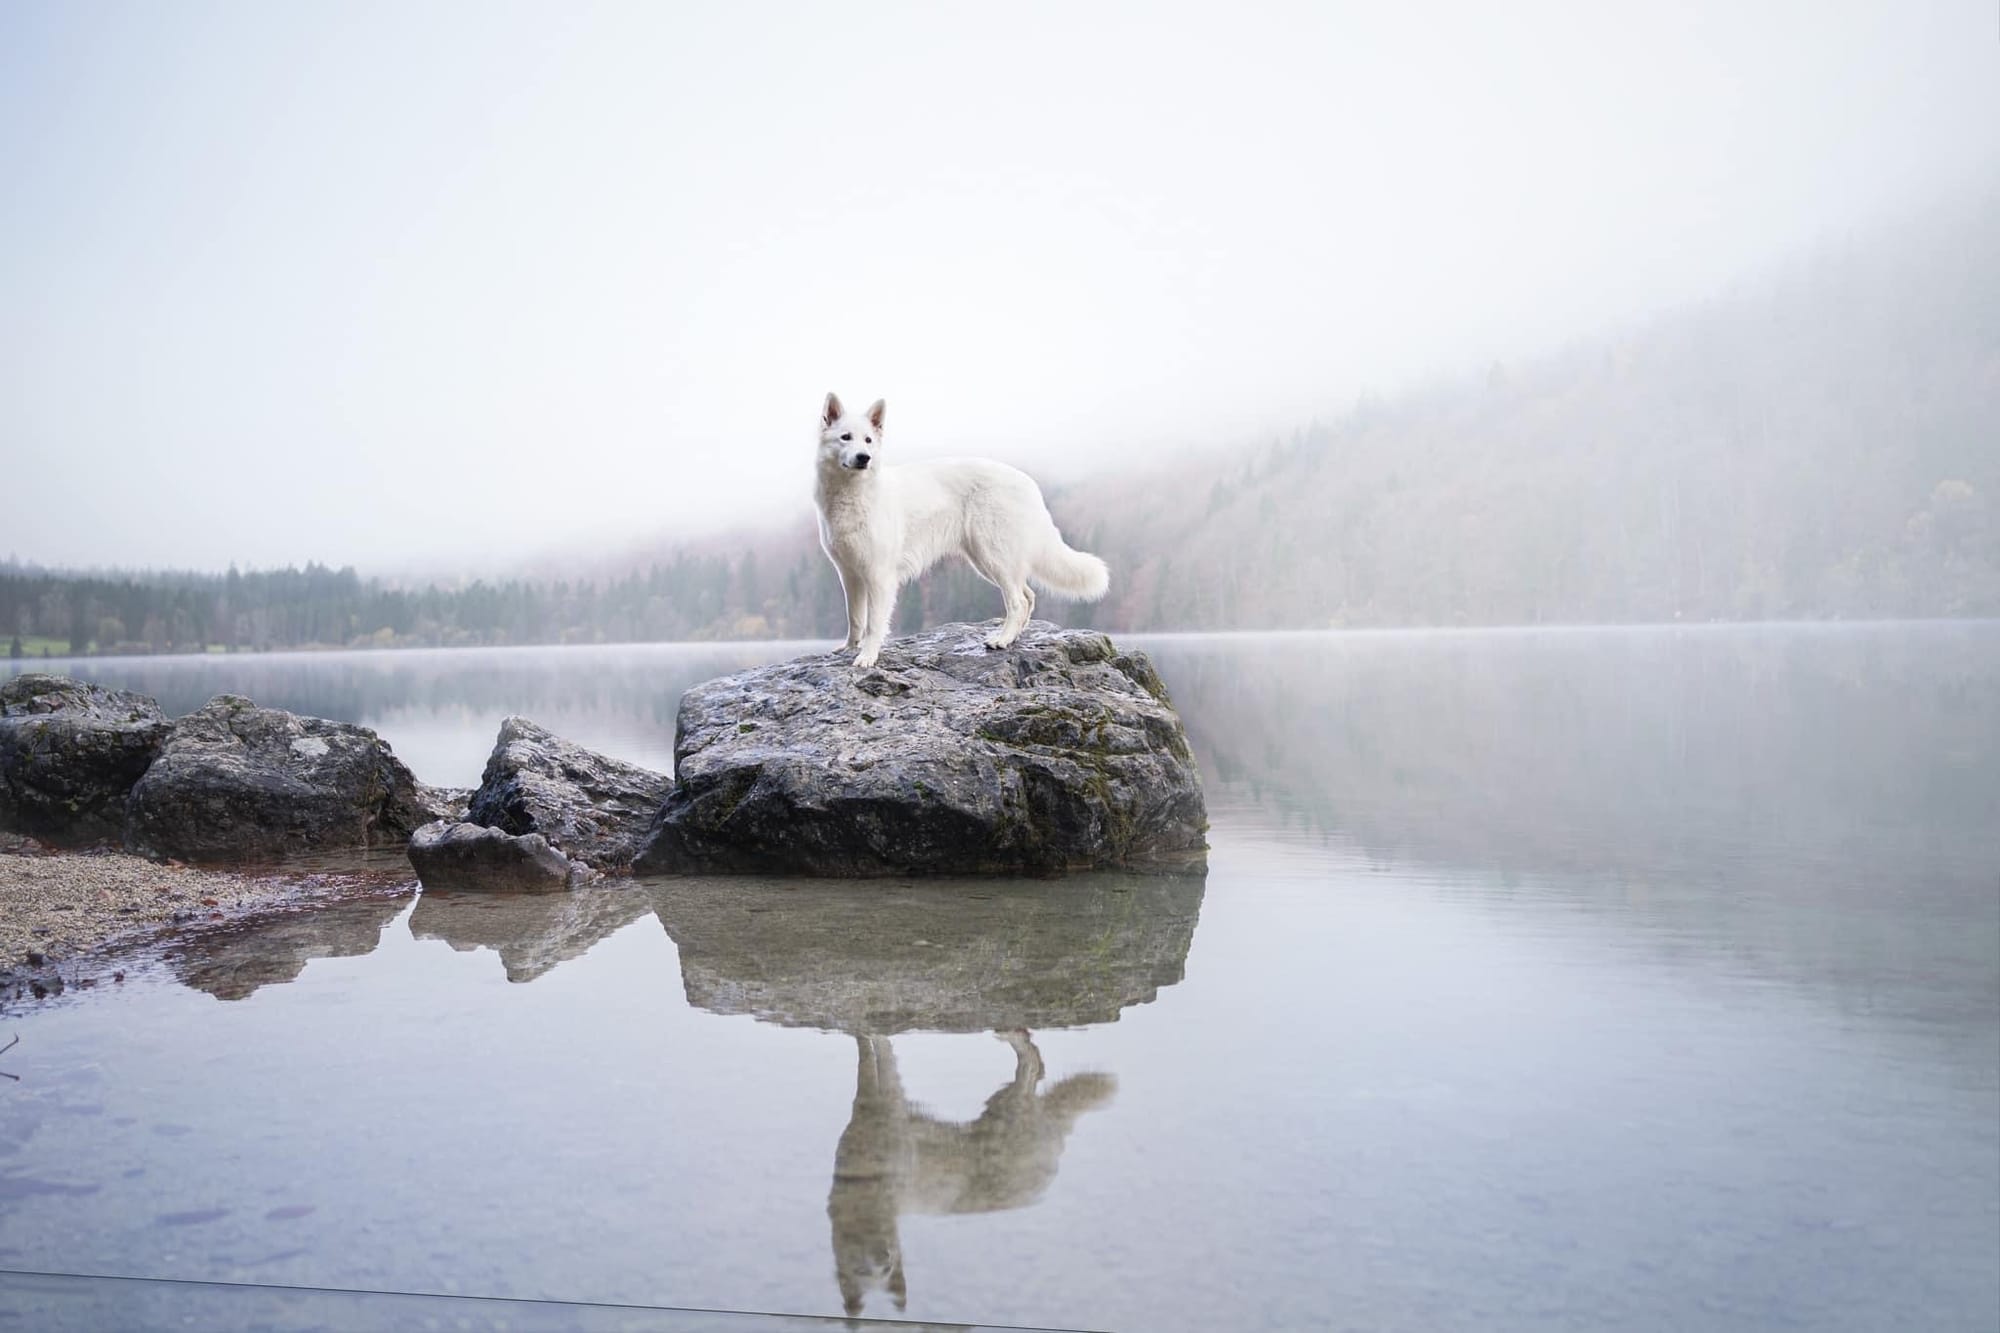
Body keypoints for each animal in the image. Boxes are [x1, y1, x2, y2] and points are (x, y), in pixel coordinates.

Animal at [820, 392, 1120, 664]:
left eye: (868, 440)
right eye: (846, 437)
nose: (864, 457)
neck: (854, 494)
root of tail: (1028, 484)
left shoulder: (879, 575)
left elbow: (873, 624)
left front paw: (867, 657)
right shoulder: (849, 574)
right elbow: (855, 618)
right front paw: (849, 648)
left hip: (994, 556)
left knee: (1019, 601)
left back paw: (1002, 639)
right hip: (987, 560)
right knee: (1028, 595)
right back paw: (1015, 636)